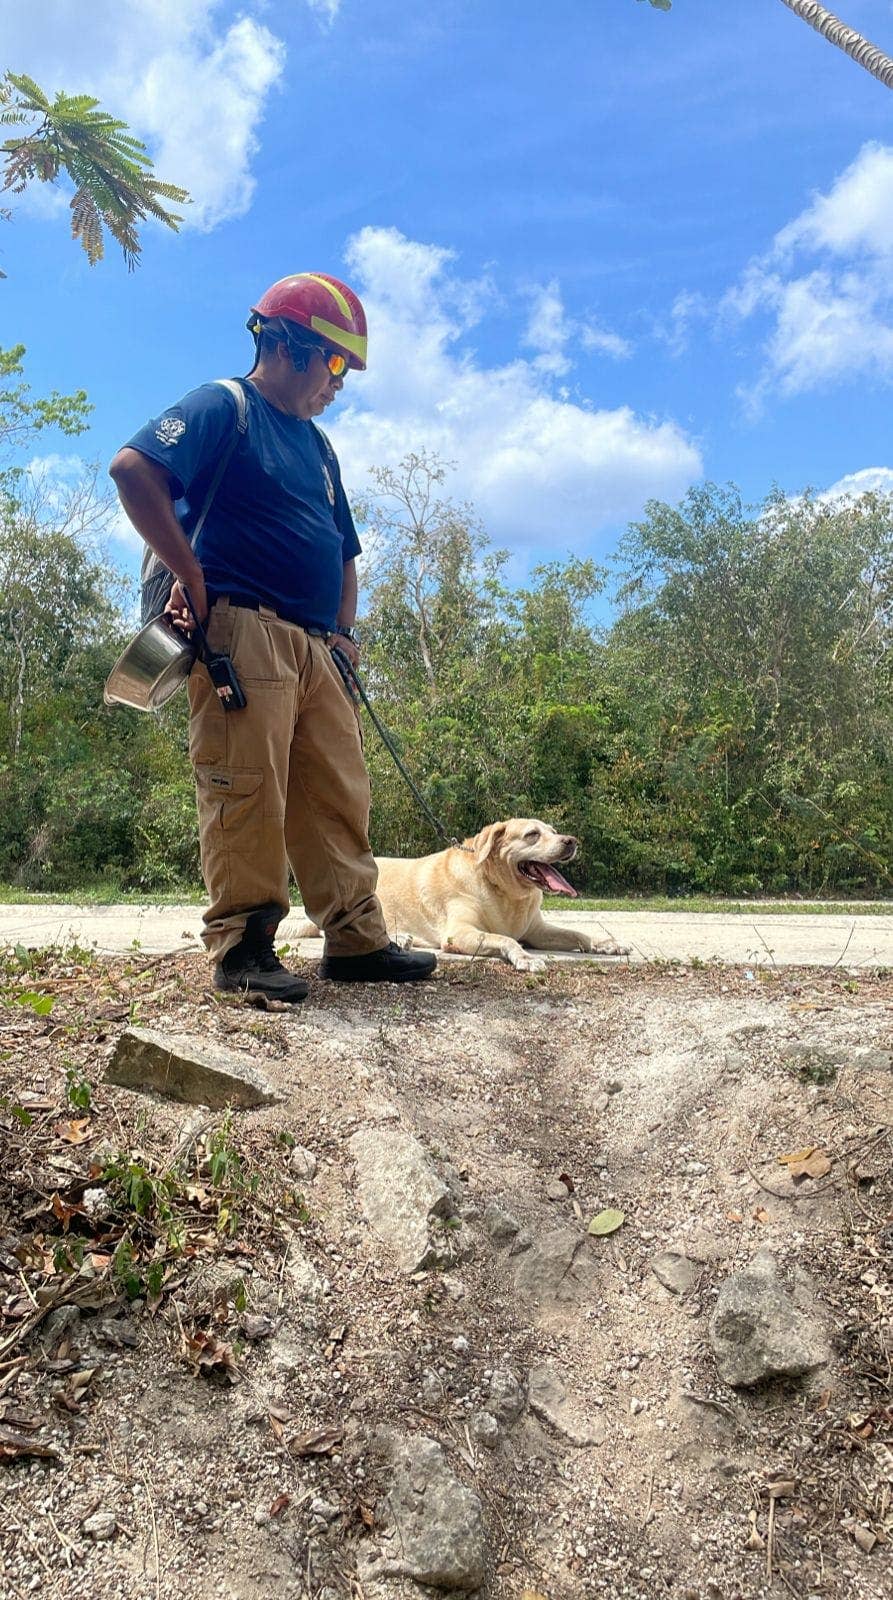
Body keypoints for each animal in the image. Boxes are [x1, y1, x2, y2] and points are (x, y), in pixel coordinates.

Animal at [299, 819, 630, 966]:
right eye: (532, 835)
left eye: (554, 831)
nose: (571, 841)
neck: (506, 893)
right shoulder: (460, 932)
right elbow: (505, 939)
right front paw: (523, 956)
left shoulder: (538, 930)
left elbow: (577, 934)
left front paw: (606, 943)